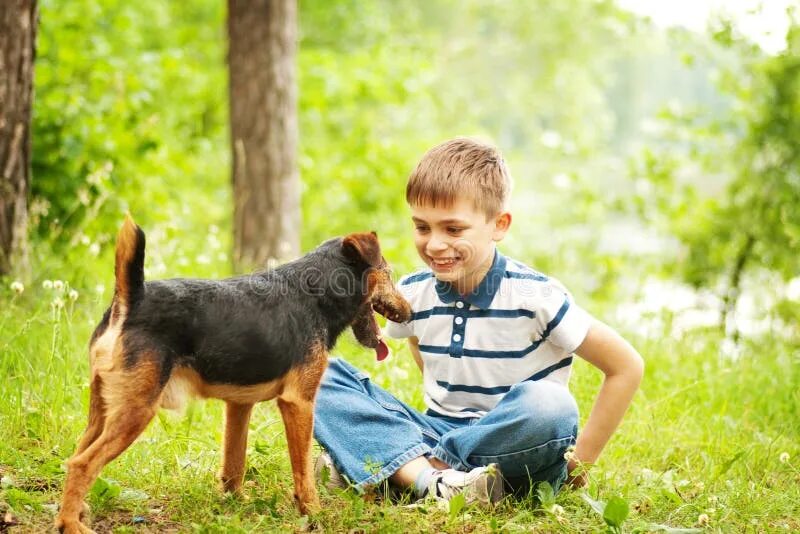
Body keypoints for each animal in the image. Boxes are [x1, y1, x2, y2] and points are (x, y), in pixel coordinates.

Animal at [56, 216, 412, 532]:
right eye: (388, 273)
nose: (409, 313)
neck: (316, 292)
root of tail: (132, 300)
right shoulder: (298, 403)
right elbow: (303, 473)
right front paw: (313, 513)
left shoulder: (240, 405)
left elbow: (234, 462)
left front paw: (235, 503)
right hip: (136, 411)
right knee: (82, 464)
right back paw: (71, 525)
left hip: (103, 410)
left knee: (76, 455)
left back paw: (76, 511)